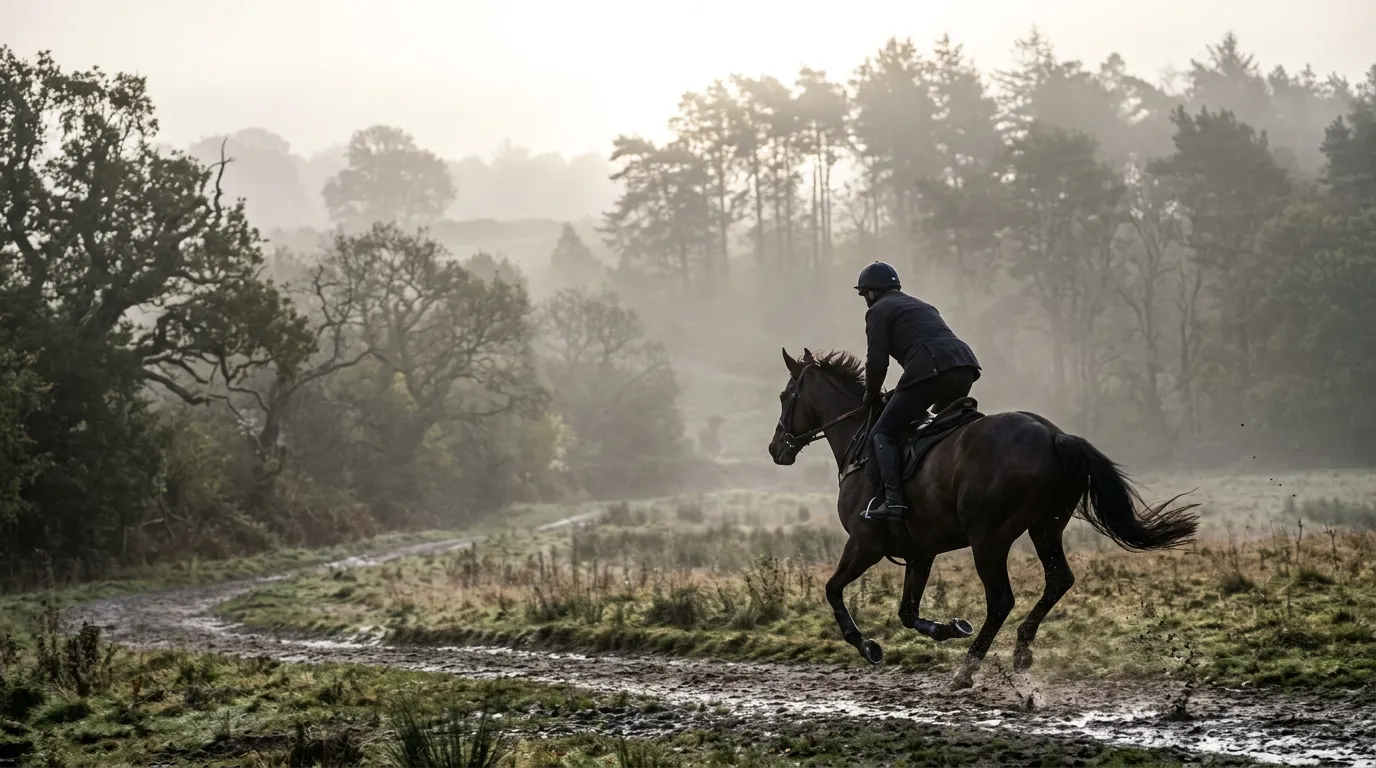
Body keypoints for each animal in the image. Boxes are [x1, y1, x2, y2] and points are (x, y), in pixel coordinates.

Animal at [767, 348, 1199, 691]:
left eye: (786, 395)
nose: (775, 448)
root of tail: (1054, 436)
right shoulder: (920, 551)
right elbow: (907, 612)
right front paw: (948, 628)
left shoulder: (865, 544)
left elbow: (833, 589)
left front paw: (868, 646)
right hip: (1046, 526)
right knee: (1058, 580)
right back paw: (1021, 651)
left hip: (989, 537)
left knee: (1001, 600)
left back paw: (967, 670)